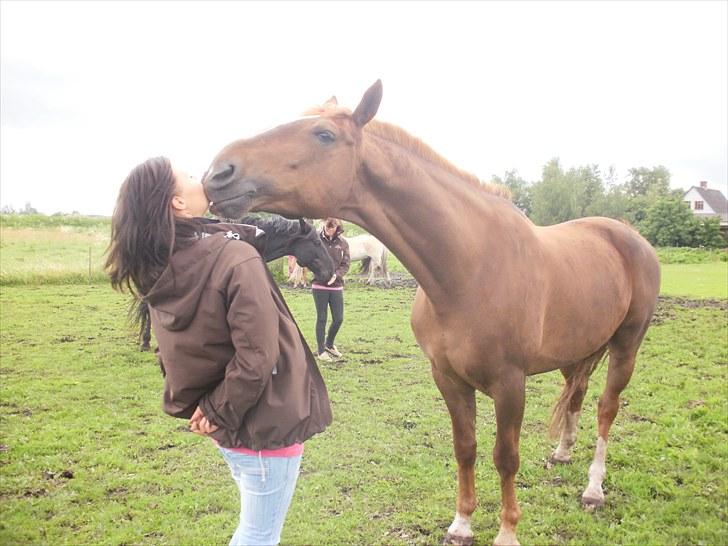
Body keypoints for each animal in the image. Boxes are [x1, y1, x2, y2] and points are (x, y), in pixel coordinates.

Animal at [202, 81, 664, 544]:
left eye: (324, 135)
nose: (218, 173)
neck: (468, 267)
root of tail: (628, 235)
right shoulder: (447, 378)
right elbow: (465, 448)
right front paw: (461, 524)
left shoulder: (510, 384)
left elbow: (506, 456)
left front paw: (507, 531)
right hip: (577, 350)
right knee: (577, 393)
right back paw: (562, 453)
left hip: (626, 346)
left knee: (606, 408)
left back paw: (593, 488)